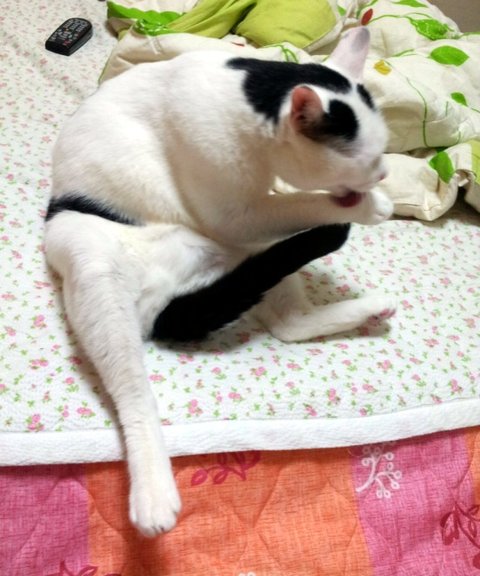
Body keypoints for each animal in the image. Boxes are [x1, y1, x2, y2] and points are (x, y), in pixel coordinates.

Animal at [44, 27, 394, 537]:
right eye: (370, 163)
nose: (385, 173)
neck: (250, 96)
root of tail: (166, 297)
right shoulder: (236, 212)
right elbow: (302, 202)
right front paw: (371, 206)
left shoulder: (255, 215)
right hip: (98, 270)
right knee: (134, 396)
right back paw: (153, 494)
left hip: (257, 258)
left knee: (288, 323)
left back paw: (371, 308)